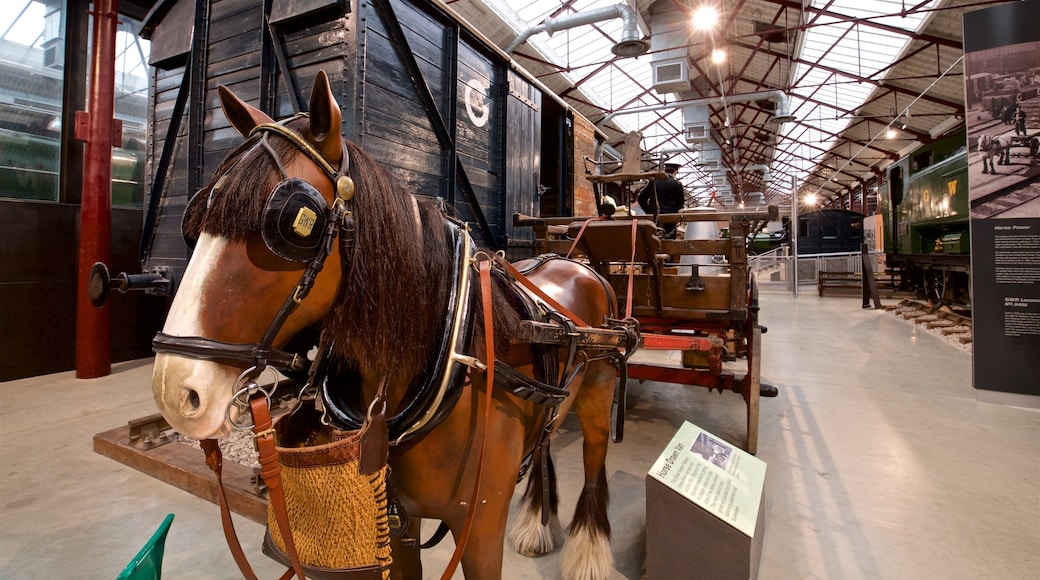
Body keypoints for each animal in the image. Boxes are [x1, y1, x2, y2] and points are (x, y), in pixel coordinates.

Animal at [151, 73, 619, 580]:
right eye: (196, 215)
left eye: (293, 222)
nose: (174, 391)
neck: (453, 355)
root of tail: (576, 264)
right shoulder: (398, 521)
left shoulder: (481, 524)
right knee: (546, 440)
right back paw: (536, 524)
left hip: (598, 395)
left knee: (594, 462)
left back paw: (589, 553)